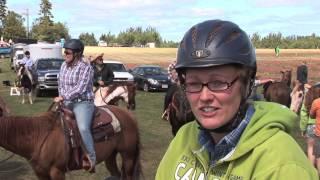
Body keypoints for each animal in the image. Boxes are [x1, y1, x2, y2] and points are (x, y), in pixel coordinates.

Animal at [0, 102, 141, 179]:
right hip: (110, 156)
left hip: (128, 155)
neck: (38, 137)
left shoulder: (57, 171)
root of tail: (128, 114)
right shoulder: (40, 173)